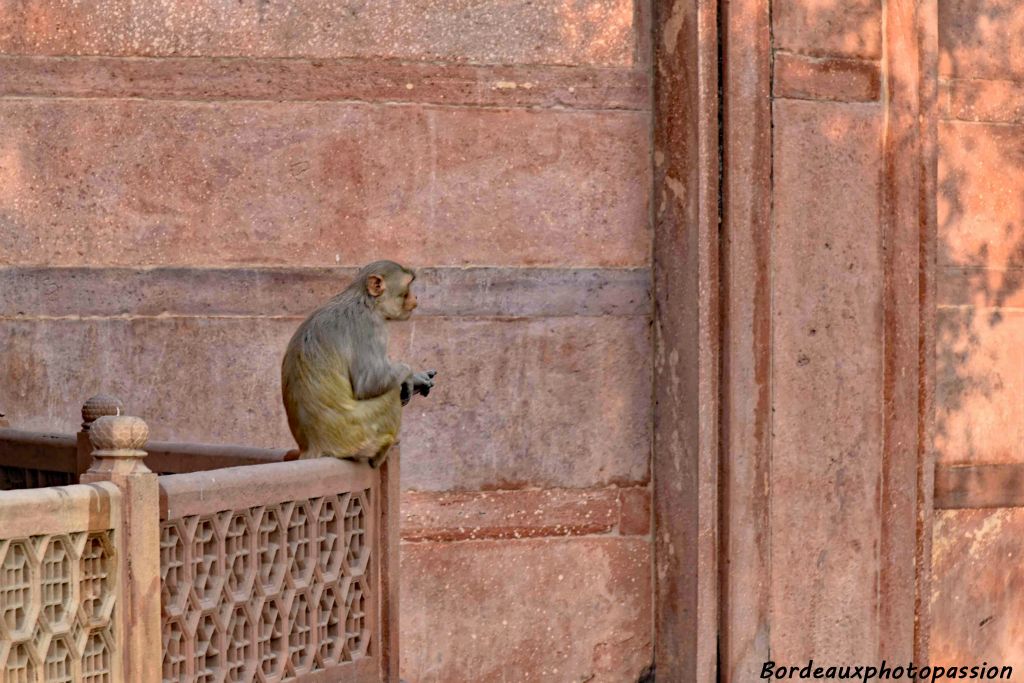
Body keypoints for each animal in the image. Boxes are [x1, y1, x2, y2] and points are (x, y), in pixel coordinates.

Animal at [280, 262, 436, 471]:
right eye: (409, 285)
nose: (416, 297)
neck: (365, 301)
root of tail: (314, 446)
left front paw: (418, 379)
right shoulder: (370, 325)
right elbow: (368, 382)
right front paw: (410, 375)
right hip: (357, 436)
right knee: (390, 392)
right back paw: (382, 451)